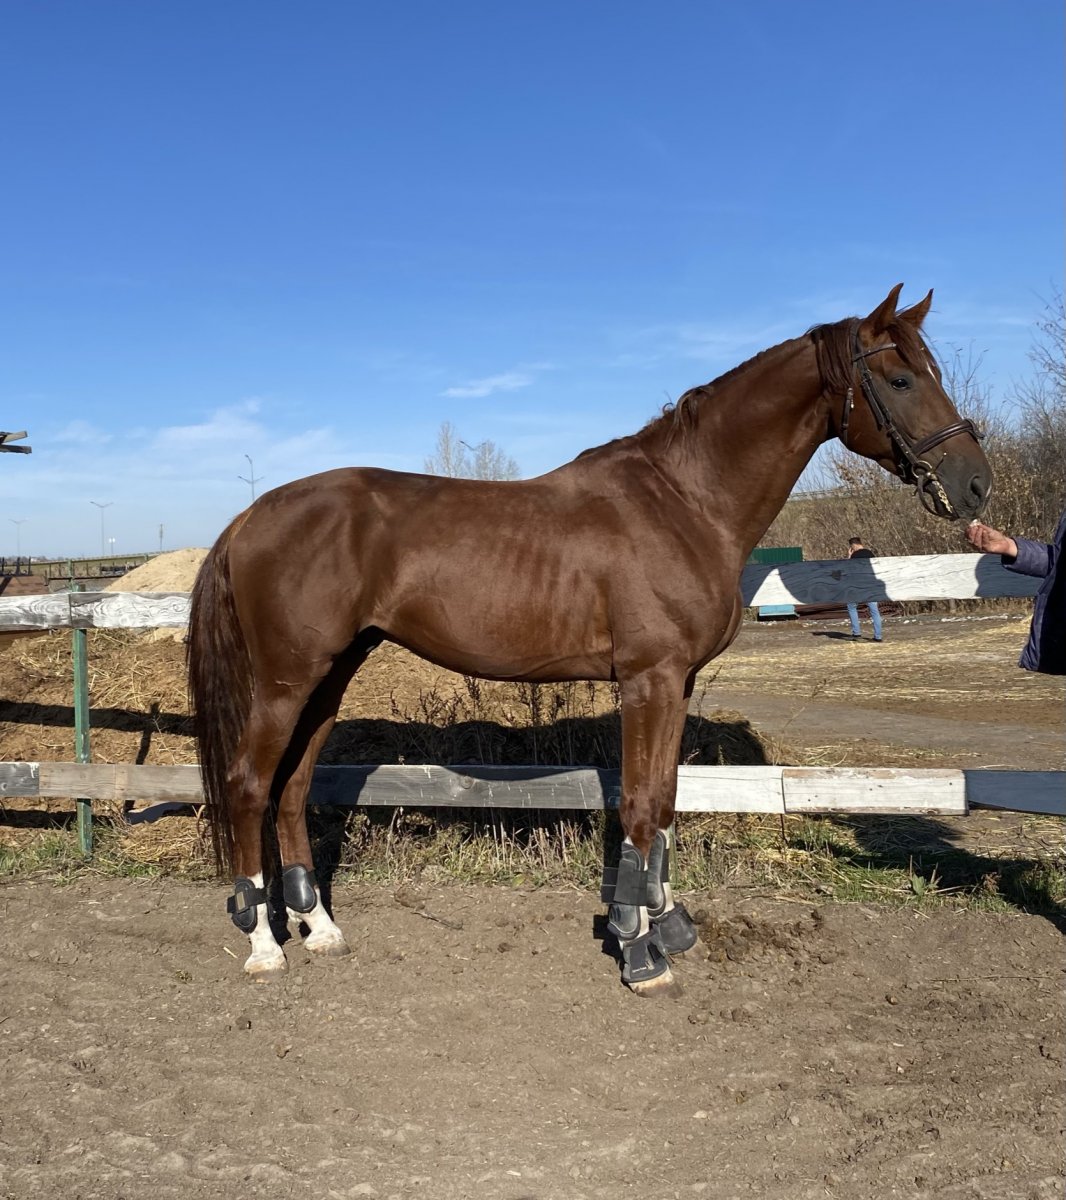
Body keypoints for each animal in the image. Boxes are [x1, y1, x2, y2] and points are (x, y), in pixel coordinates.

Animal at [187, 284, 992, 996]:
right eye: (899, 377)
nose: (976, 485)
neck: (685, 500)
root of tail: (250, 517)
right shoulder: (648, 679)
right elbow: (638, 804)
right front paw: (638, 950)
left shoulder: (676, 682)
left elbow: (664, 801)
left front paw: (664, 922)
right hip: (287, 681)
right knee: (250, 785)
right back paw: (265, 945)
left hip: (329, 677)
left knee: (292, 788)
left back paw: (320, 928)